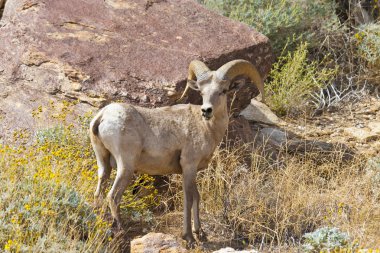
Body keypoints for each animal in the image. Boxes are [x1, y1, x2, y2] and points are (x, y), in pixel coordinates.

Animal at [90, 59, 264, 245]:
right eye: (202, 92)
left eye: (223, 91)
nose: (206, 111)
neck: (207, 128)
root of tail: (102, 116)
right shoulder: (188, 166)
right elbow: (188, 199)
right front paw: (189, 237)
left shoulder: (192, 171)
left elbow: (197, 197)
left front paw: (201, 233)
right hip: (125, 167)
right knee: (113, 197)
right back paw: (121, 231)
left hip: (104, 163)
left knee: (99, 192)